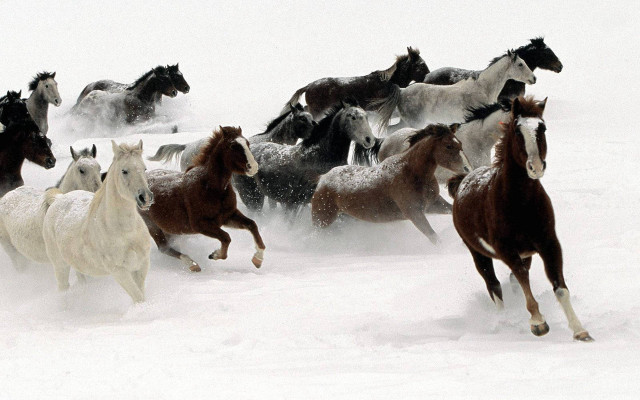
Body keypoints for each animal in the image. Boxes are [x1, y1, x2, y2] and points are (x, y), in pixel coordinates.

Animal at [43, 140, 153, 303]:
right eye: (124, 171)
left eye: (144, 168)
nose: (145, 197)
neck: (126, 232)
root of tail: (58, 199)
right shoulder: (119, 271)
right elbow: (138, 298)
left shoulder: (142, 265)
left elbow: (141, 295)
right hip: (60, 265)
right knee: (63, 288)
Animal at [141, 126, 265, 272]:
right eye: (233, 146)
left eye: (247, 143)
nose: (253, 167)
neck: (210, 188)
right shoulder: (200, 224)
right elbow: (226, 238)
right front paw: (215, 255)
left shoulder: (228, 216)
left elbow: (252, 225)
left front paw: (258, 259)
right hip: (152, 226)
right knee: (164, 248)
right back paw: (193, 264)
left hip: (169, 229)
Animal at [312, 124, 470, 244]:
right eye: (448, 146)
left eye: (460, 144)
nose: (467, 168)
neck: (411, 172)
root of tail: (322, 179)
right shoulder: (414, 213)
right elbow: (434, 237)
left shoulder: (433, 204)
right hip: (322, 220)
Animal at [375, 50, 536, 129]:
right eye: (520, 64)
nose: (534, 78)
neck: (483, 89)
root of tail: (402, 92)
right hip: (415, 123)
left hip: (406, 122)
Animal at [447, 96, 592, 341]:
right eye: (517, 131)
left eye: (542, 128)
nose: (536, 167)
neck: (521, 204)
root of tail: (462, 181)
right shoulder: (506, 250)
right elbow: (522, 279)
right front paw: (538, 323)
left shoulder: (549, 244)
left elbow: (559, 287)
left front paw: (580, 331)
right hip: (478, 253)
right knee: (494, 286)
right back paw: (504, 321)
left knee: (511, 282)